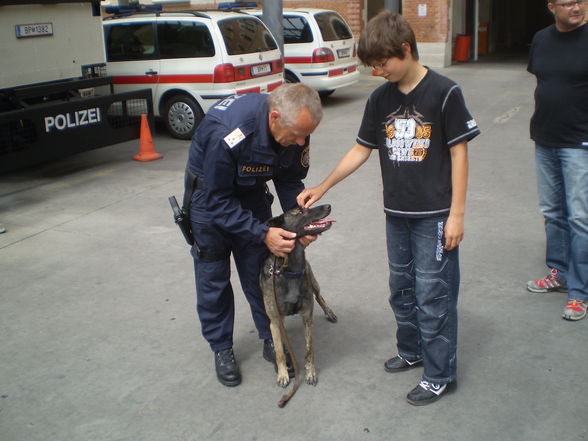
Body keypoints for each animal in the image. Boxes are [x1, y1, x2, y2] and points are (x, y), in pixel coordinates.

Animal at [260, 203, 338, 392]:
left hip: (313, 282)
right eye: (299, 212)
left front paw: (310, 373)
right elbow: (280, 352)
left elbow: (309, 350)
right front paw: (283, 374)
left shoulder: (307, 317)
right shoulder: (274, 321)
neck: (290, 270)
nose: (328, 205)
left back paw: (329, 312)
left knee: (320, 297)